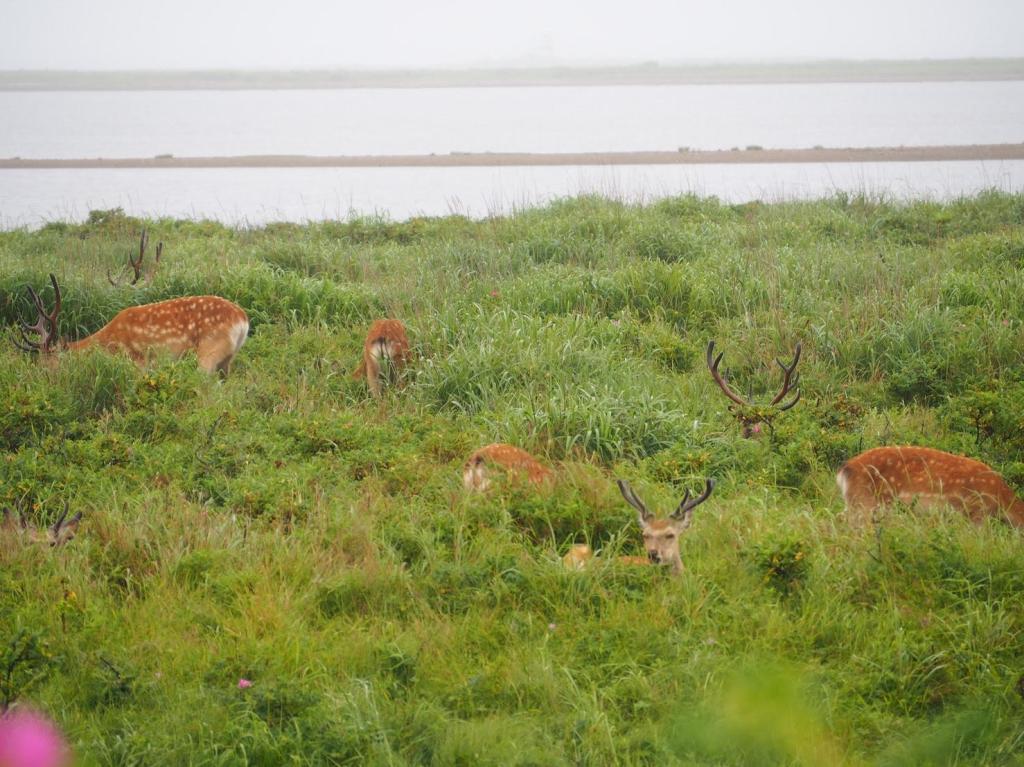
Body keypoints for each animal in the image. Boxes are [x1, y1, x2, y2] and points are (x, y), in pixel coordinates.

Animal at [15, 274, 249, 374]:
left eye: (50, 364)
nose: (41, 378)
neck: (108, 343)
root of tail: (243, 320)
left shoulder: (139, 362)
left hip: (208, 353)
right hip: (228, 358)